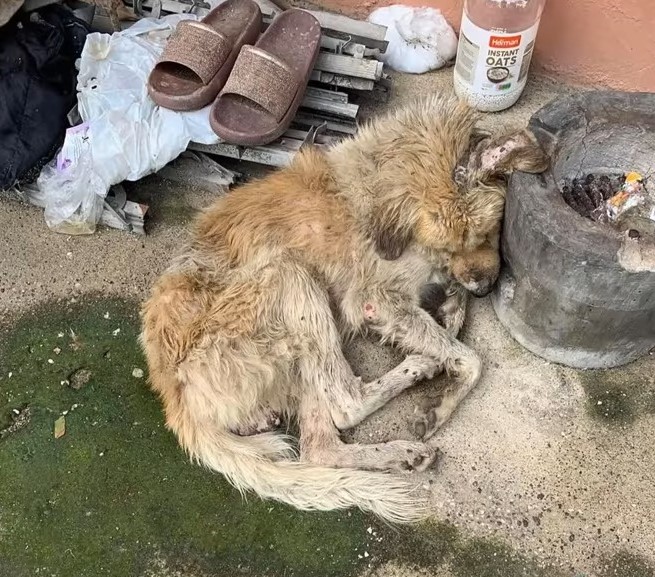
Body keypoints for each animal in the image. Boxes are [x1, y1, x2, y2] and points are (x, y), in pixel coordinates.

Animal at [142, 94, 548, 520]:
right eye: (456, 243)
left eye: (487, 232)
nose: (485, 289)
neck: (387, 173)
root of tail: (172, 390)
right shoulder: (376, 298)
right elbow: (470, 356)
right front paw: (441, 399)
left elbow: (454, 311)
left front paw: (449, 318)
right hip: (291, 277)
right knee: (346, 403)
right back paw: (419, 368)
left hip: (299, 364)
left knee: (321, 448)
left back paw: (401, 451)